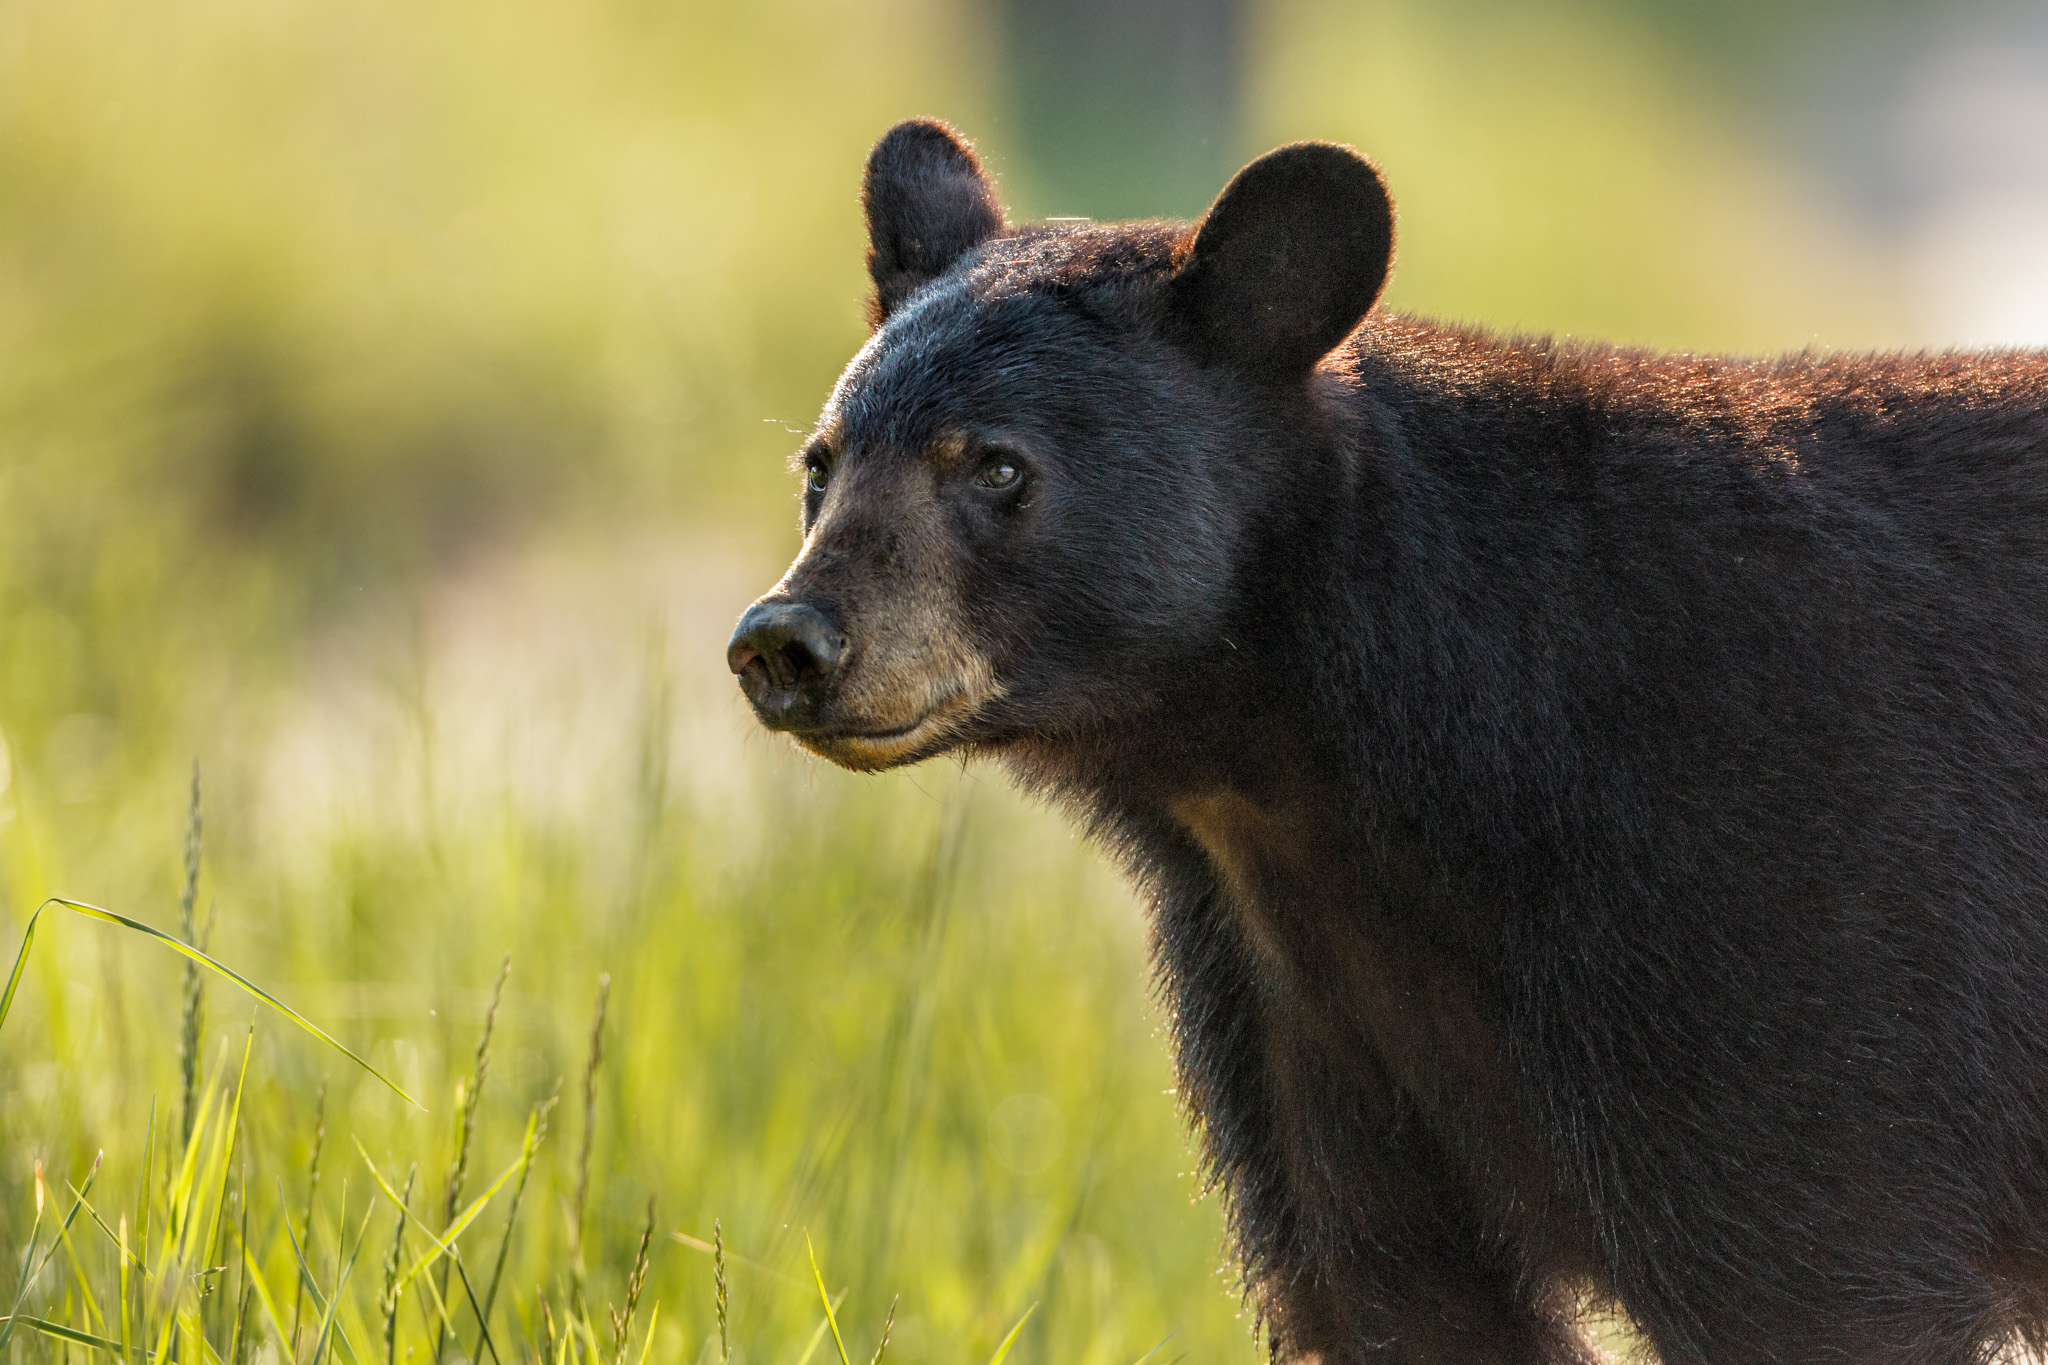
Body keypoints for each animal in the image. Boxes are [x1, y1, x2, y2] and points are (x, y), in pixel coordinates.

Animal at [724, 120, 2048, 1365]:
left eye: (995, 467)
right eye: (820, 465)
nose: (787, 640)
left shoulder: (1784, 914)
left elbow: (1804, 1258)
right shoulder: (1297, 1003)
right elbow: (1396, 1288)